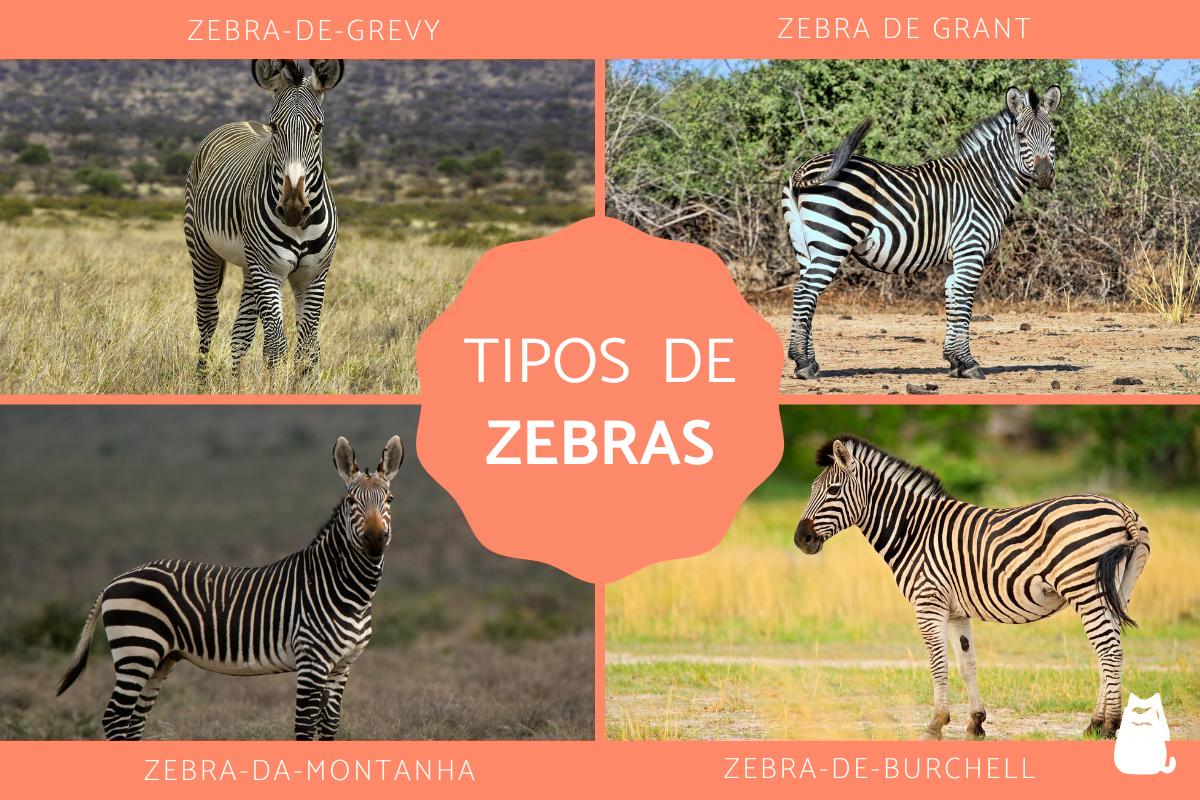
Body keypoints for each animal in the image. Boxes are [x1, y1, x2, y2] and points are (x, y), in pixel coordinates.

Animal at [56, 435, 404, 741]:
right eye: (351, 501)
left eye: (389, 499)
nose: (375, 540)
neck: (350, 592)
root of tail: (115, 580)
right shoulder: (311, 661)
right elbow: (305, 729)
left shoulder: (341, 667)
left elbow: (329, 728)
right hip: (137, 649)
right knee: (115, 718)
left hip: (159, 658)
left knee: (134, 721)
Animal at [185, 59, 343, 374]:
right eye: (275, 126)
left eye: (318, 127)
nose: (293, 208)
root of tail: (239, 122)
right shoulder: (269, 270)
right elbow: (276, 347)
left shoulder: (314, 274)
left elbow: (308, 348)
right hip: (203, 247)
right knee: (208, 318)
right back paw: (201, 379)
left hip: (250, 264)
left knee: (241, 331)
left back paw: (234, 381)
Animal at [781, 85, 1061, 380]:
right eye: (1021, 135)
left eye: (1052, 132)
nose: (1044, 176)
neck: (986, 183)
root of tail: (803, 169)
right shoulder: (971, 248)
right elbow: (965, 302)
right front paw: (968, 363)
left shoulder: (953, 257)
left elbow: (953, 300)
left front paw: (954, 361)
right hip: (832, 240)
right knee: (804, 292)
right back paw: (804, 364)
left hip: (805, 245)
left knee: (806, 295)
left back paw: (807, 361)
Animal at [793, 436, 1149, 740]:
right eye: (812, 489)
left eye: (833, 490)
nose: (801, 540)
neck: (914, 531)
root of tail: (1122, 509)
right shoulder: (955, 611)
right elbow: (967, 664)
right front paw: (975, 724)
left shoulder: (928, 603)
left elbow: (938, 664)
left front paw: (935, 724)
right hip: (1117, 589)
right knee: (1110, 649)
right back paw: (1095, 724)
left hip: (1085, 589)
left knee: (1108, 650)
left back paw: (1110, 725)